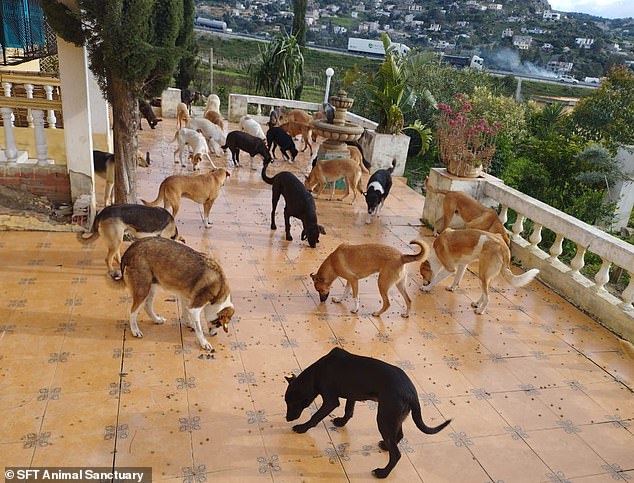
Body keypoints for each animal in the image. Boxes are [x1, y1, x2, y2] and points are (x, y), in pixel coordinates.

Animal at [284, 348, 452, 480]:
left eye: (291, 404)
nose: (287, 419)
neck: (318, 371)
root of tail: (412, 394)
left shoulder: (331, 401)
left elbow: (315, 417)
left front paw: (302, 428)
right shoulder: (352, 394)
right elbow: (348, 410)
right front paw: (341, 422)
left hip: (384, 418)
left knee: (396, 454)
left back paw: (383, 473)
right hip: (394, 418)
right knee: (399, 436)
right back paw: (385, 446)